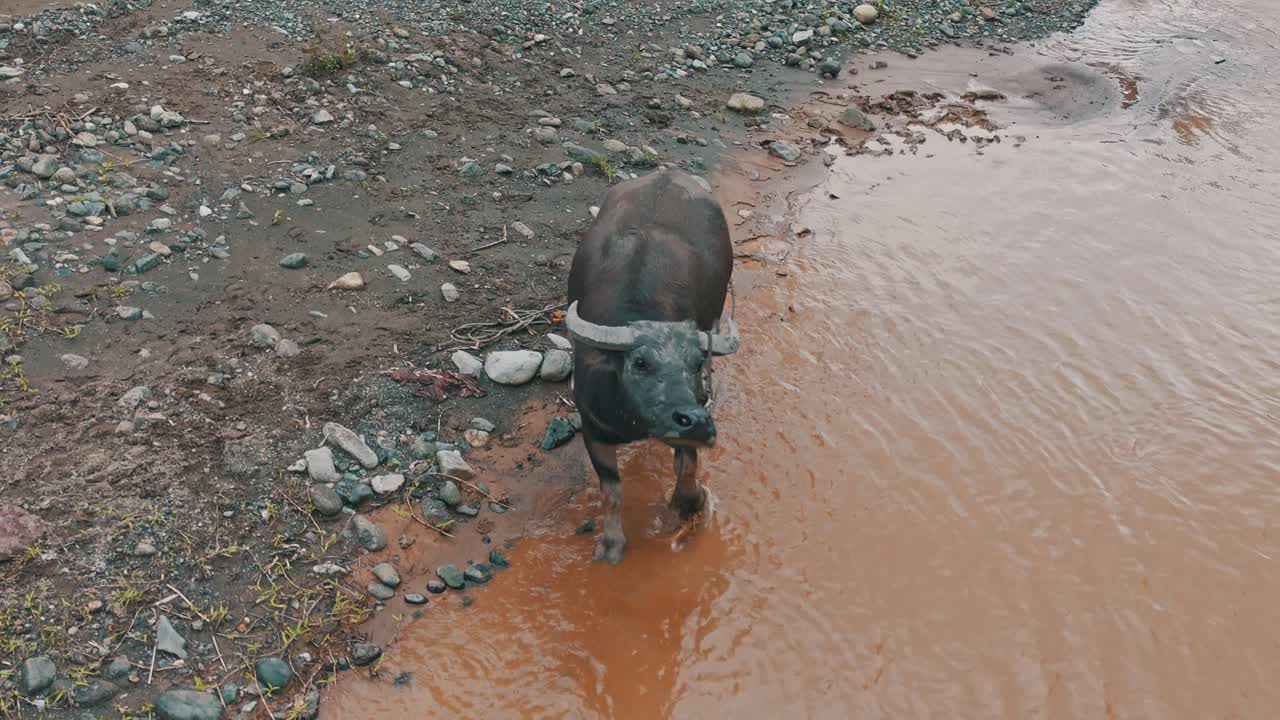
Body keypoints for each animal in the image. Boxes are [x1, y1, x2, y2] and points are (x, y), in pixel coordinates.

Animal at [564, 168, 740, 565]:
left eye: (695, 362)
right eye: (641, 362)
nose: (697, 422)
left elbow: (687, 466)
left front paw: (690, 504)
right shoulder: (593, 428)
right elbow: (612, 491)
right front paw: (612, 543)